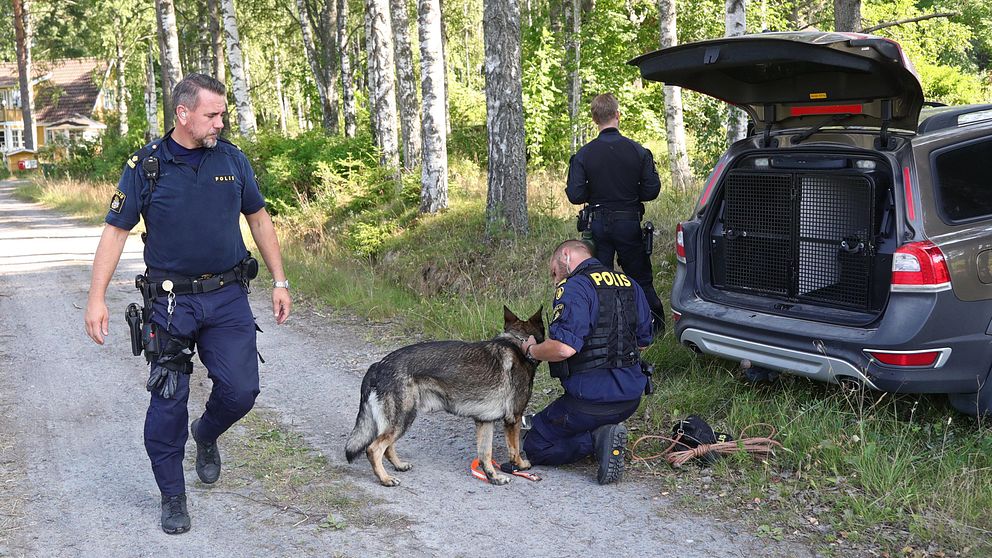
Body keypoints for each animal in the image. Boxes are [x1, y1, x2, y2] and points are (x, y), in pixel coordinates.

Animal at [342, 308, 544, 488]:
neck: (517, 342)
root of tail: (378, 365)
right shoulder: (514, 419)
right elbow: (514, 449)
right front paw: (520, 465)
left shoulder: (485, 422)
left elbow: (484, 455)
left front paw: (493, 477)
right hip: (403, 419)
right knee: (374, 448)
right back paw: (385, 479)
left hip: (397, 422)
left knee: (387, 447)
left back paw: (398, 466)